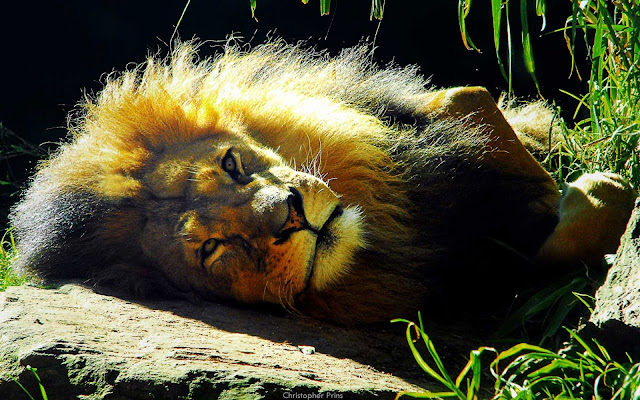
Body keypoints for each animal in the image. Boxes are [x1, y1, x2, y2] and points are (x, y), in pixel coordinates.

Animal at [9, 41, 636, 325]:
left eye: (232, 164)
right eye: (212, 248)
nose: (290, 211)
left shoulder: (442, 108)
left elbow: (488, 118)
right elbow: (586, 216)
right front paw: (590, 193)